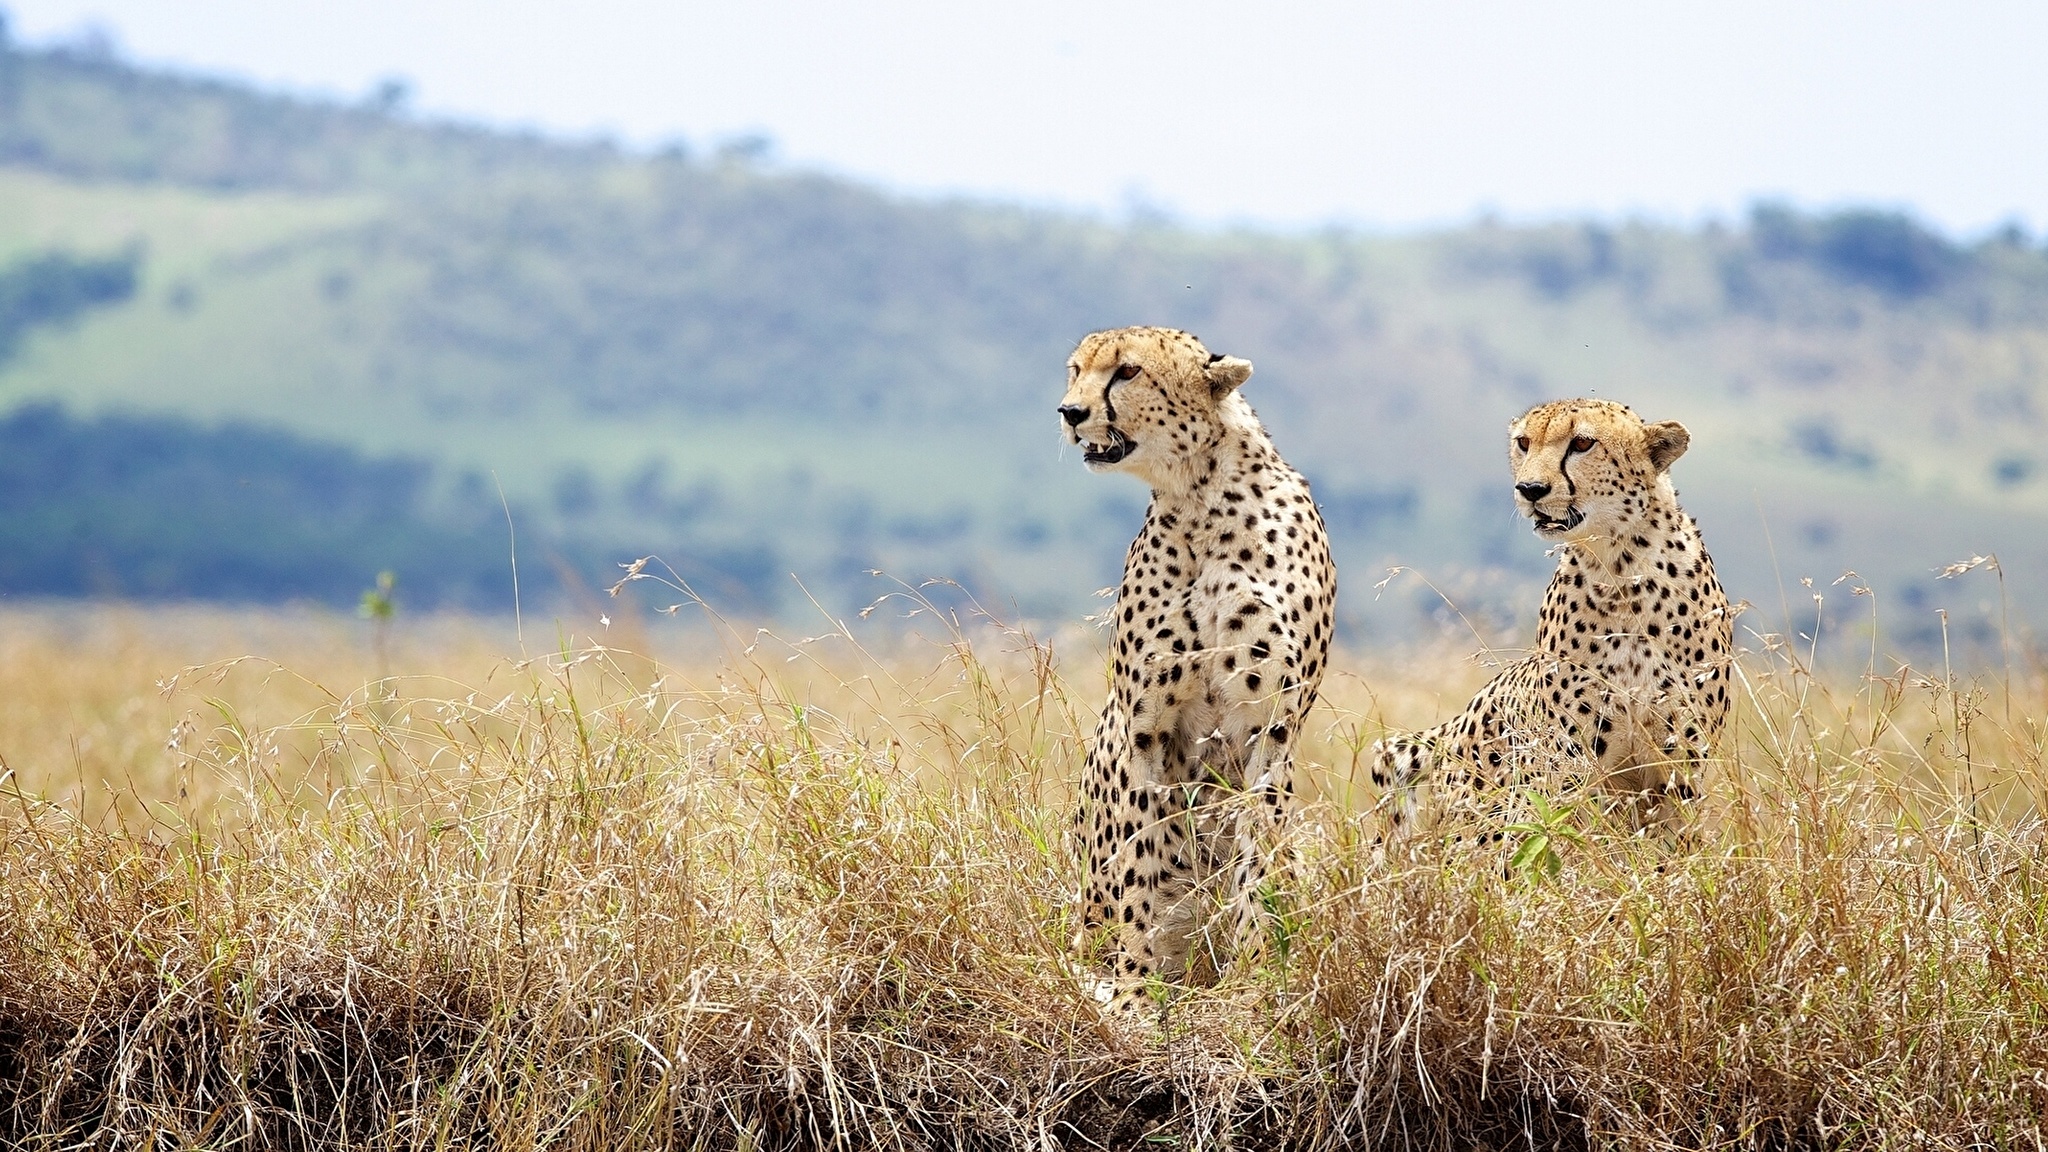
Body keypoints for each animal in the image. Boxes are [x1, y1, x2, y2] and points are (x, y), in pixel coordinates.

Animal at [1064, 325, 1335, 1004]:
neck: (1199, 502)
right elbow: (1140, 861)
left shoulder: (1271, 726)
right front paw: (1136, 988)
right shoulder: (1145, 728)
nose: (1069, 412)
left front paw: (1258, 969)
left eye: (1127, 372)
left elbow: (1258, 856)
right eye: (1075, 370)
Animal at [1368, 401, 1736, 832]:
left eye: (1582, 443)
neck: (1621, 568)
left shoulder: (1681, 767)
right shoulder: (1566, 764)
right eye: (1524, 443)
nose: (1530, 489)